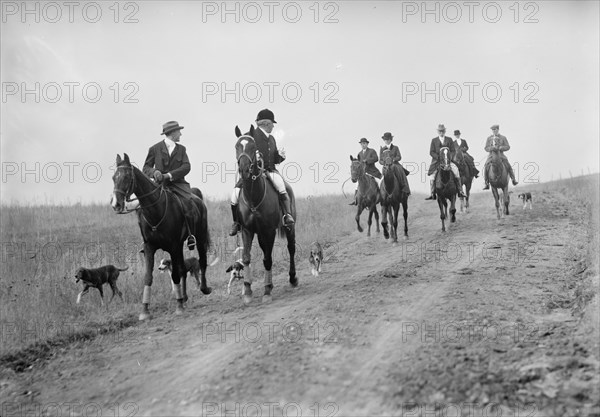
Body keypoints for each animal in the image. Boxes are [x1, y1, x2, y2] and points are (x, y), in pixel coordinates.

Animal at [111, 153, 212, 318]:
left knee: (202, 261)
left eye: (126, 177)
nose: (116, 205)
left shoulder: (173, 246)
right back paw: (184, 297)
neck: (155, 212)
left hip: (200, 238)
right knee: (183, 269)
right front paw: (145, 310)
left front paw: (178, 306)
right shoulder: (150, 247)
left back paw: (204, 288)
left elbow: (175, 275)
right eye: (114, 177)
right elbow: (148, 277)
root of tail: (197, 198)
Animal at [233, 125, 296, 304]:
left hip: (288, 228)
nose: (244, 170)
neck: (254, 196)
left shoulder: (269, 231)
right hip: (260, 234)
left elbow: (268, 259)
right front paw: (247, 290)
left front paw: (267, 290)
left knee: (291, 248)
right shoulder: (247, 230)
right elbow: (246, 257)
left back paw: (292, 278)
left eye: (253, 146)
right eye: (237, 146)